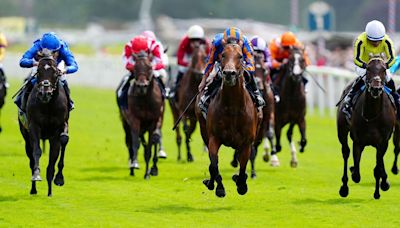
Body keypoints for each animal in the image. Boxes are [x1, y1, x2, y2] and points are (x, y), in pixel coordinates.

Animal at [18, 53, 69, 196]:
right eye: (39, 71)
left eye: (55, 73)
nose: (45, 93)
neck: (48, 106)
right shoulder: (34, 126)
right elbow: (37, 151)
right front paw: (36, 175)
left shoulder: (57, 130)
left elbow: (54, 156)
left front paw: (56, 182)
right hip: (25, 134)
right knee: (30, 156)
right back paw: (33, 189)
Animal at [118, 50, 163, 179]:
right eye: (135, 67)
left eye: (150, 67)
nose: (142, 86)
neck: (145, 99)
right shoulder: (134, 120)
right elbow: (135, 143)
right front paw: (134, 163)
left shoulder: (154, 120)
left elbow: (151, 144)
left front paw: (149, 172)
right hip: (125, 123)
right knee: (129, 141)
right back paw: (131, 169)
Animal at [195, 38, 258, 197]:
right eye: (223, 55)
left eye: (240, 56)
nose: (229, 73)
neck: (233, 108)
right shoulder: (214, 138)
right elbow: (214, 164)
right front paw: (219, 187)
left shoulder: (246, 142)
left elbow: (243, 167)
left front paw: (241, 184)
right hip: (204, 130)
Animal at [230, 50, 276, 179]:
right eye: (254, 71)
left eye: (265, 70)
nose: (259, 85)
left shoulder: (269, 114)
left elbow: (270, 133)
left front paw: (272, 157)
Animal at [336, 56, 396, 199]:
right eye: (368, 69)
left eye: (384, 69)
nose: (376, 88)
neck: (372, 115)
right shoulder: (358, 141)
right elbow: (356, 173)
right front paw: (352, 173)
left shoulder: (383, 142)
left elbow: (377, 168)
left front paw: (378, 191)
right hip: (342, 131)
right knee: (345, 152)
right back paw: (344, 187)